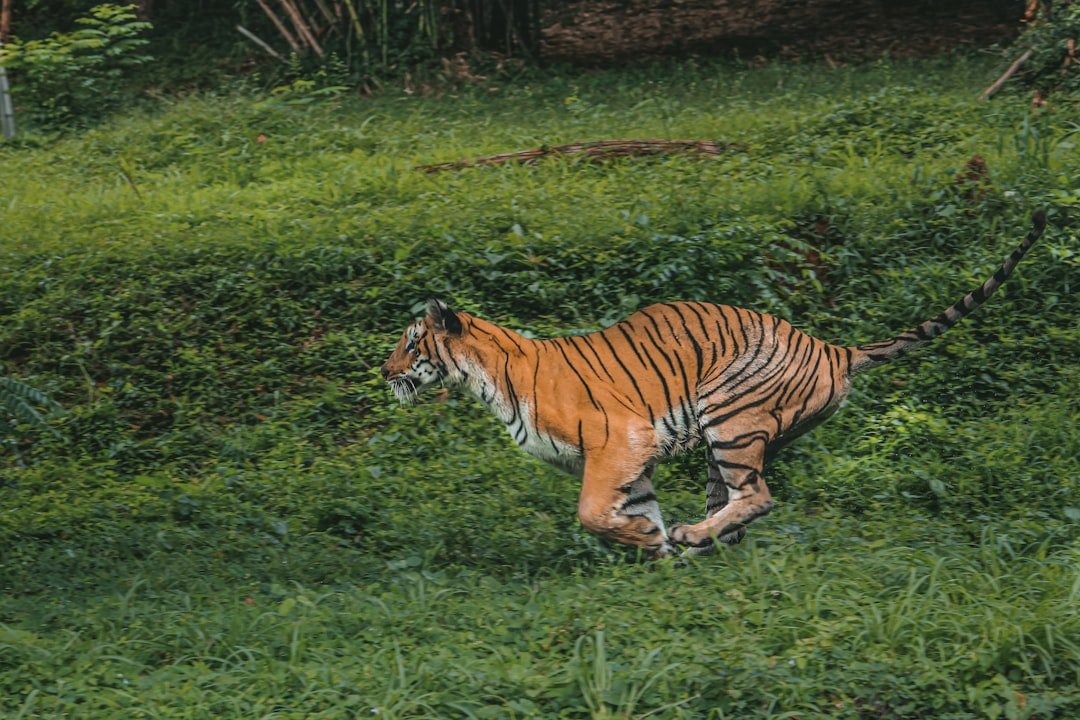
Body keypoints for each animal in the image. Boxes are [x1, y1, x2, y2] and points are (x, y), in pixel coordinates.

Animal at [381, 211, 1046, 558]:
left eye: (411, 343)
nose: (385, 373)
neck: (488, 378)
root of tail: (832, 346)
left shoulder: (618, 442)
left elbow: (592, 513)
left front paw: (651, 541)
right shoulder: (633, 462)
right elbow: (632, 509)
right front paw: (654, 548)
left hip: (730, 419)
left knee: (758, 497)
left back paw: (694, 536)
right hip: (721, 442)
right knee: (735, 506)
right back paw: (699, 543)